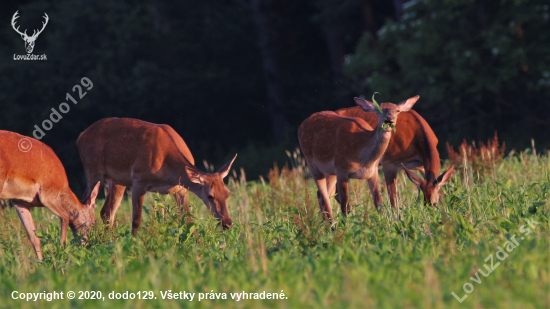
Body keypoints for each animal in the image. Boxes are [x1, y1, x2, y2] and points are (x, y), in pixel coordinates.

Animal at [0, 131, 100, 260]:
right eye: (94, 224)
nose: (91, 244)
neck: (64, 189)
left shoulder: (19, 201)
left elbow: (34, 237)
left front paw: (42, 262)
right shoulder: (48, 194)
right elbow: (66, 216)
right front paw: (61, 254)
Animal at [76, 116, 237, 235]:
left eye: (228, 193)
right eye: (210, 196)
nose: (228, 223)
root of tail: (80, 137)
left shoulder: (180, 188)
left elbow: (188, 219)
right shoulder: (139, 179)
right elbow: (136, 219)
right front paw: (134, 245)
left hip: (117, 180)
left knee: (107, 212)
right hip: (92, 170)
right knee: (86, 202)